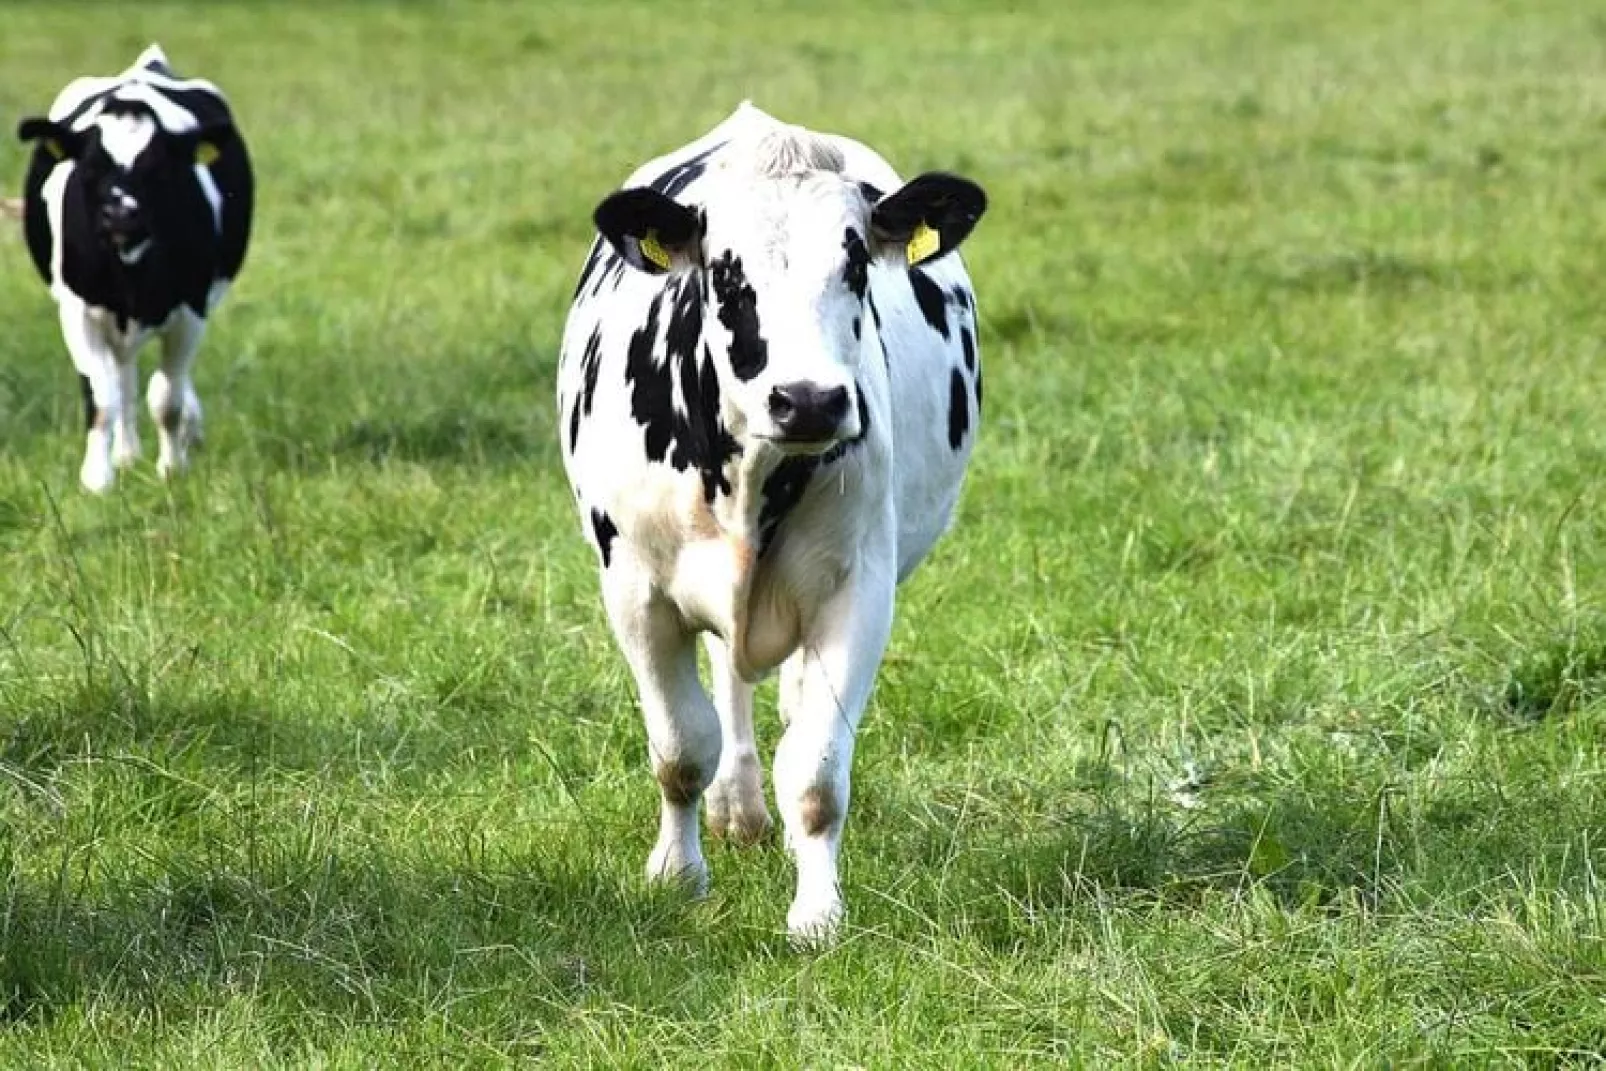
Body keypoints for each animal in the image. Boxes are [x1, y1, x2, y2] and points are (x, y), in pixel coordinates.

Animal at [14, 43, 250, 491]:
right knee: (122, 380)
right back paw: (125, 456)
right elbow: (102, 395)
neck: (131, 272)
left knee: (160, 382)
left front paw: (172, 470)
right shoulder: (77, 310)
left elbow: (167, 398)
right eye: (90, 167)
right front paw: (97, 480)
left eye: (157, 169)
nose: (122, 214)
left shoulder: (190, 309)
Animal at [558, 100, 982, 937]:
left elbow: (815, 772)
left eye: (856, 266)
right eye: (727, 273)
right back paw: (735, 807)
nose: (810, 400)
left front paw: (817, 910)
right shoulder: (635, 593)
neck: (749, 477)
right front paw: (678, 873)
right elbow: (680, 748)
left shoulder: (858, 592)